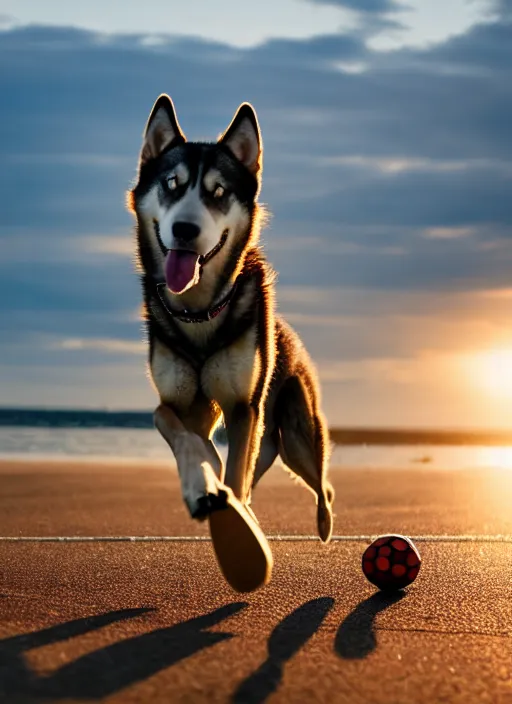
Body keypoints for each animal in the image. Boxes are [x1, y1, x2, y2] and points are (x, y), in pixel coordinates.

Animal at [129, 93, 332, 588]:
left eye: (218, 192)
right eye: (171, 184)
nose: (184, 229)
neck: (199, 311)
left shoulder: (244, 406)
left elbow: (237, 473)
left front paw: (240, 531)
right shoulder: (180, 404)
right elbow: (187, 438)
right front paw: (203, 483)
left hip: (300, 433)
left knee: (322, 483)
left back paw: (320, 522)